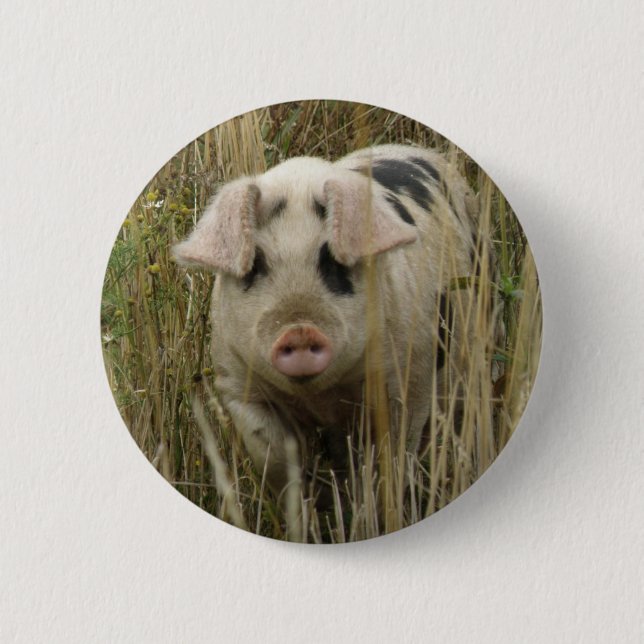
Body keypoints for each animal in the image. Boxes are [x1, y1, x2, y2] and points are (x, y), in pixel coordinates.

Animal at [173, 144, 478, 504]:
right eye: (255, 265)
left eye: (332, 260)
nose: (300, 330)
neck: (321, 397)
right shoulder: (238, 384)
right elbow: (273, 457)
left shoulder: (409, 377)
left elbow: (393, 456)